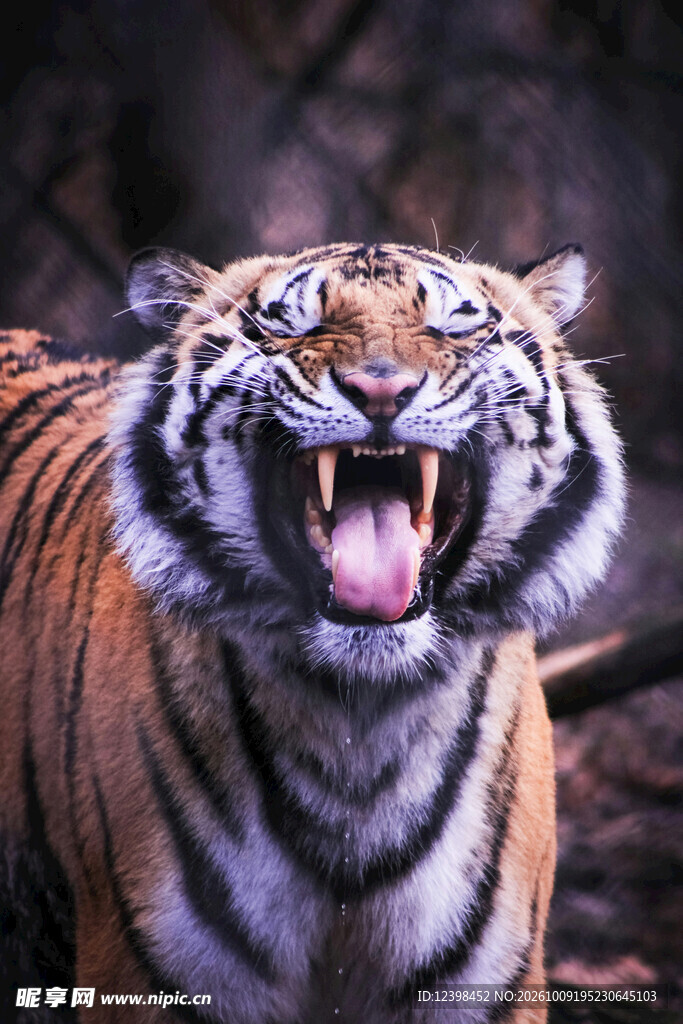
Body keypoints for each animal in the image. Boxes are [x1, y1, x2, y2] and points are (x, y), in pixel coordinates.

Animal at [0, 241, 625, 1023]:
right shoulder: (147, 976)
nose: (381, 391)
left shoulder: (487, 987)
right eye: (291, 327)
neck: (360, 725)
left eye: (453, 327)